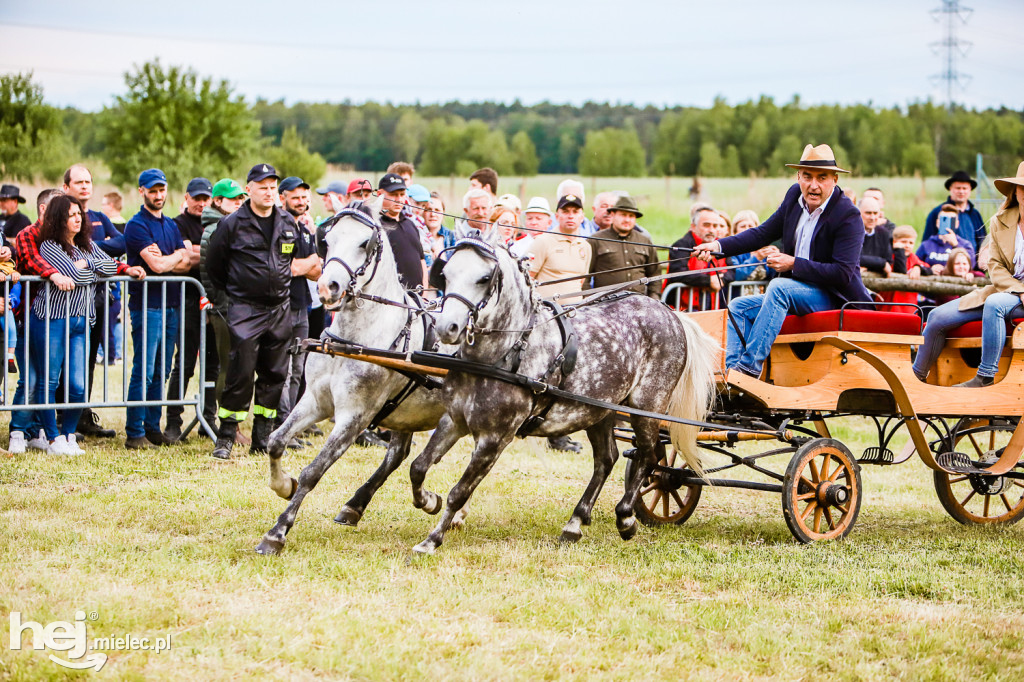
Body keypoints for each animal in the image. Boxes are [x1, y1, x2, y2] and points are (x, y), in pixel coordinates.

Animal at [253, 199, 462, 557]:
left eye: (366, 243)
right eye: (327, 239)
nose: (327, 287)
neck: (356, 341)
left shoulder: (355, 416)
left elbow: (313, 471)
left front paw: (277, 532)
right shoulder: (315, 400)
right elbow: (276, 441)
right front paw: (282, 485)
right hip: (408, 410)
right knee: (398, 455)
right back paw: (357, 505)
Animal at [403, 231, 716, 557]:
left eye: (484, 278)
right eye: (446, 274)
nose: (446, 327)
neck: (503, 355)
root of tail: (671, 313)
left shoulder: (495, 439)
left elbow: (459, 492)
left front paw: (431, 540)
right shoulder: (453, 420)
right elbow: (418, 467)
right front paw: (428, 501)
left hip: (646, 408)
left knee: (646, 456)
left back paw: (626, 518)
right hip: (598, 411)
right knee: (607, 459)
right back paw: (575, 523)